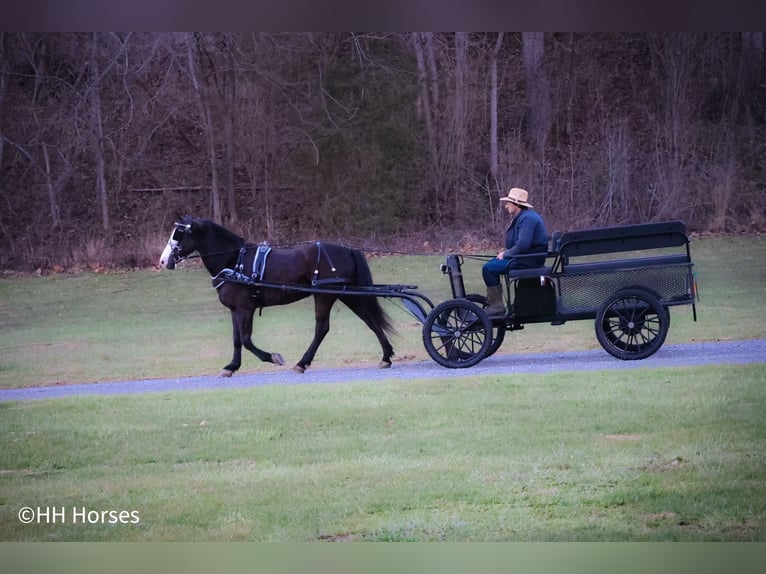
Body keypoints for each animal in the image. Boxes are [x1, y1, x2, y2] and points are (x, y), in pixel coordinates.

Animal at [158, 217, 396, 378]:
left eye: (178, 234)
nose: (162, 261)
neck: (234, 261)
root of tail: (347, 249)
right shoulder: (236, 309)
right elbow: (237, 339)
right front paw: (231, 366)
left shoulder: (245, 308)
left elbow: (246, 340)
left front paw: (273, 357)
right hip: (347, 294)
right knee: (370, 320)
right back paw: (386, 356)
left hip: (324, 296)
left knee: (322, 328)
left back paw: (302, 363)